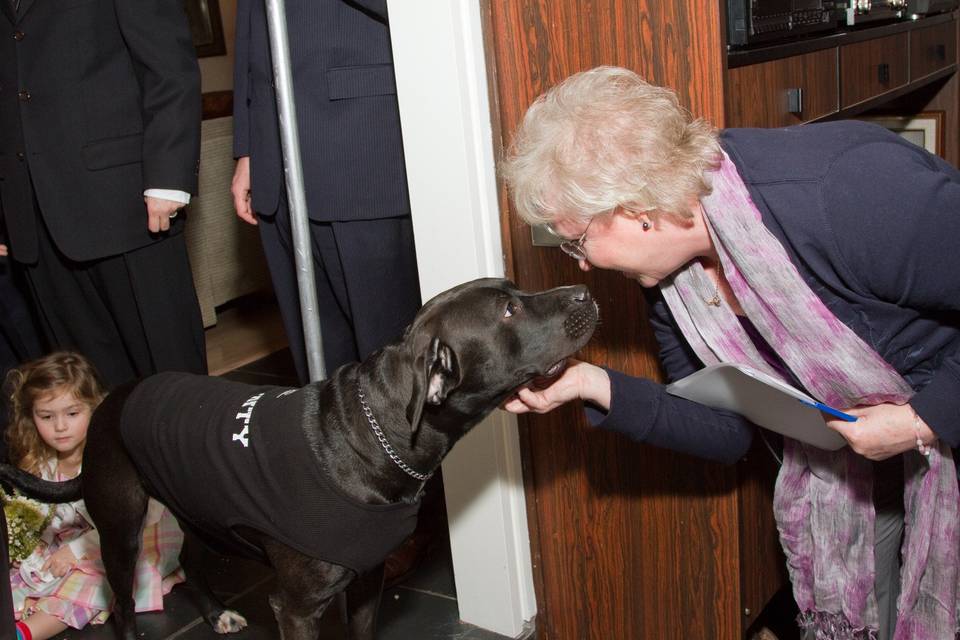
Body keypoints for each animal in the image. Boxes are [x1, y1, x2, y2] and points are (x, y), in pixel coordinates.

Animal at [0, 278, 596, 640]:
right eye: (510, 310)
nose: (585, 292)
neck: (369, 438)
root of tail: (113, 399)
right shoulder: (298, 608)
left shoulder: (366, 580)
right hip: (122, 528)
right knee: (122, 601)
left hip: (199, 511)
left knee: (191, 561)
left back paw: (216, 613)